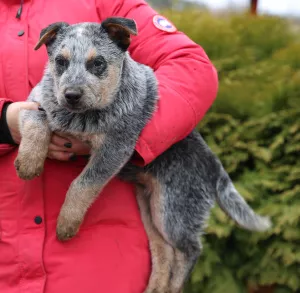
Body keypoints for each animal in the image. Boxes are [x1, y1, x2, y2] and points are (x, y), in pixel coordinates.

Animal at [14, 17, 272, 292]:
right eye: (60, 61)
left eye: (98, 63)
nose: (71, 95)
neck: (80, 118)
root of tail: (214, 165)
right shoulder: (36, 99)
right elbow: (37, 121)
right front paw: (29, 163)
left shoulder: (117, 146)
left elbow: (83, 184)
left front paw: (66, 223)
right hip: (150, 208)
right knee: (163, 251)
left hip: (174, 209)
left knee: (190, 249)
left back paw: (175, 286)